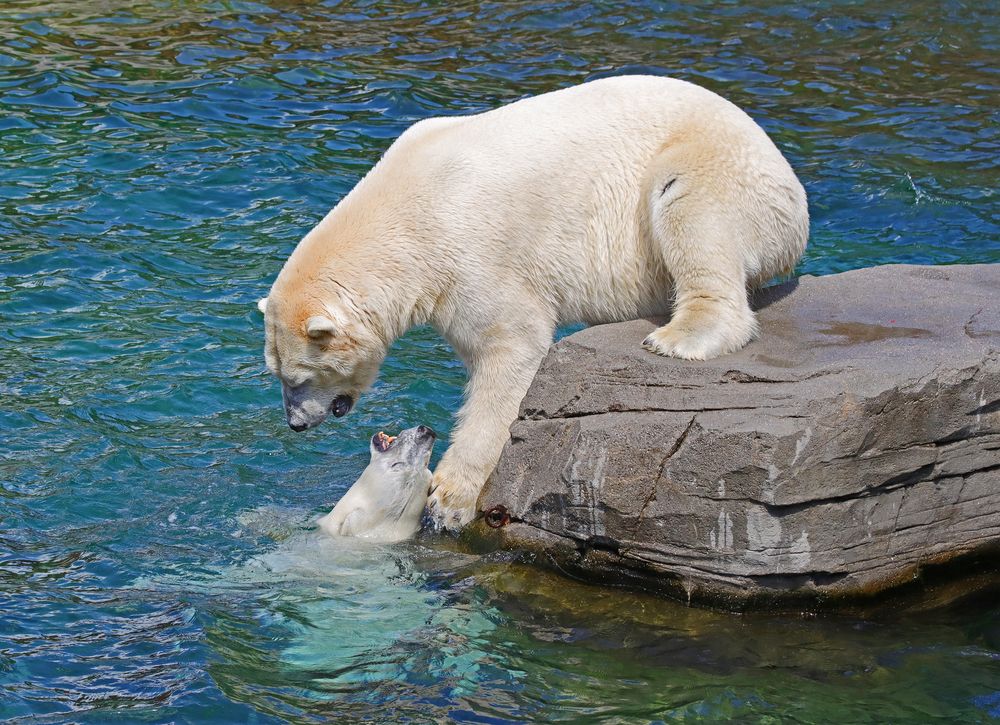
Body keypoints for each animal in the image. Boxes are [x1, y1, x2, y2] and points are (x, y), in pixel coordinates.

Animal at [256, 75, 804, 532]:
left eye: (299, 378)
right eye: (276, 374)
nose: (296, 423)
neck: (404, 212)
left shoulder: (471, 250)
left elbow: (510, 347)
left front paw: (448, 499)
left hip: (714, 163)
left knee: (691, 206)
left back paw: (678, 336)